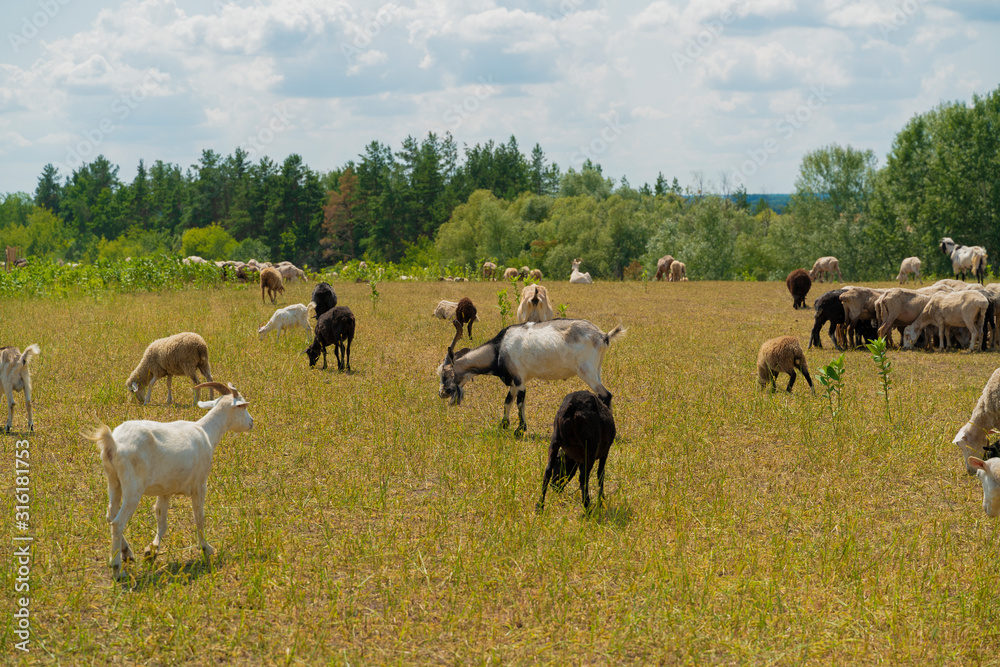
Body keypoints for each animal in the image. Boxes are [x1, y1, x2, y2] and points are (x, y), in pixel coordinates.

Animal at [86, 382, 253, 580]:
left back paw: (127, 552)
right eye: (243, 406)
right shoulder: (199, 484)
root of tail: (114, 444)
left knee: (110, 515)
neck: (206, 432)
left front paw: (151, 551)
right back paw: (117, 569)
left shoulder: (165, 490)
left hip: (113, 481)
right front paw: (206, 548)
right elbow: (199, 517)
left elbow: (162, 519)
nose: (252, 422)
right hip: (133, 488)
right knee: (118, 522)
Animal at [437, 319, 626, 434]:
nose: (442, 393)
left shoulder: (519, 380)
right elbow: (507, 401)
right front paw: (503, 424)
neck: (499, 348)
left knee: (606, 395)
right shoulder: (514, 381)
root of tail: (603, 336)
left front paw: (520, 430)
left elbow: (520, 403)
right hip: (596, 370)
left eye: (445, 373)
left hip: (587, 372)